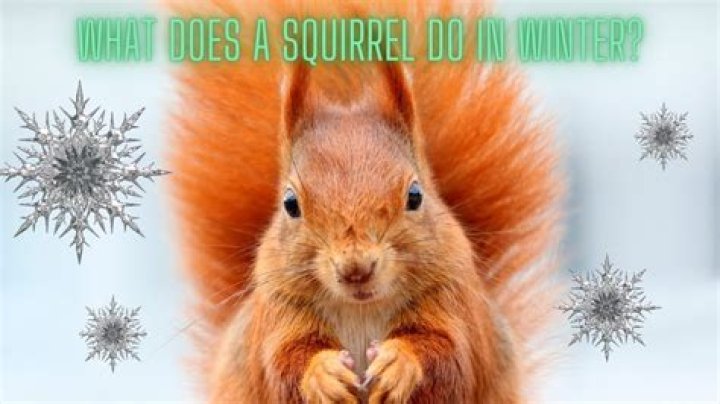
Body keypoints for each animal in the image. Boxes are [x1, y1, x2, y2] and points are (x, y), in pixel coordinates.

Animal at [168, 1, 562, 403]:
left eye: (415, 195)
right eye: (290, 204)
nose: (355, 268)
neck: (361, 308)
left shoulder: (454, 302)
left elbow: (451, 356)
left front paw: (399, 363)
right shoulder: (278, 313)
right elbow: (282, 364)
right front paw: (322, 373)